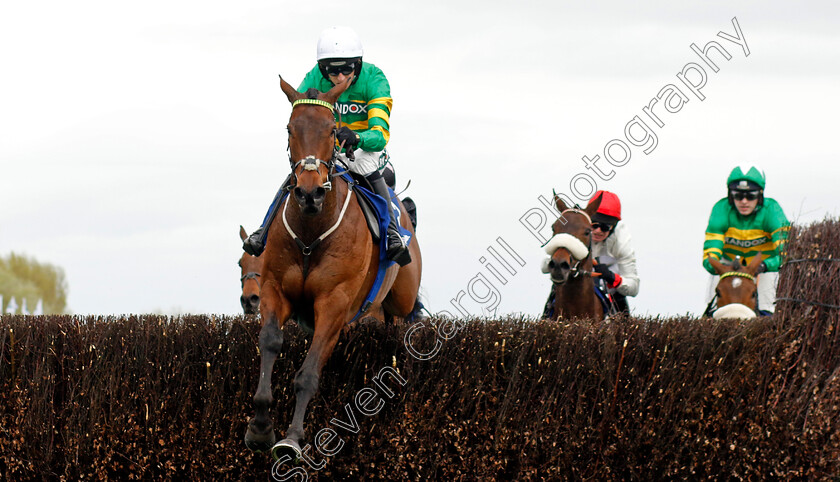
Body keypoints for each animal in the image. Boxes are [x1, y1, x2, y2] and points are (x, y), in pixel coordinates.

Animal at [246, 74, 424, 460]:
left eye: (331, 129)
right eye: (290, 128)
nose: (309, 192)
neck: (312, 230)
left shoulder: (334, 303)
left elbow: (308, 372)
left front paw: (291, 439)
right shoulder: (274, 290)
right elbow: (269, 342)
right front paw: (261, 426)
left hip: (400, 295)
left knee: (406, 313)